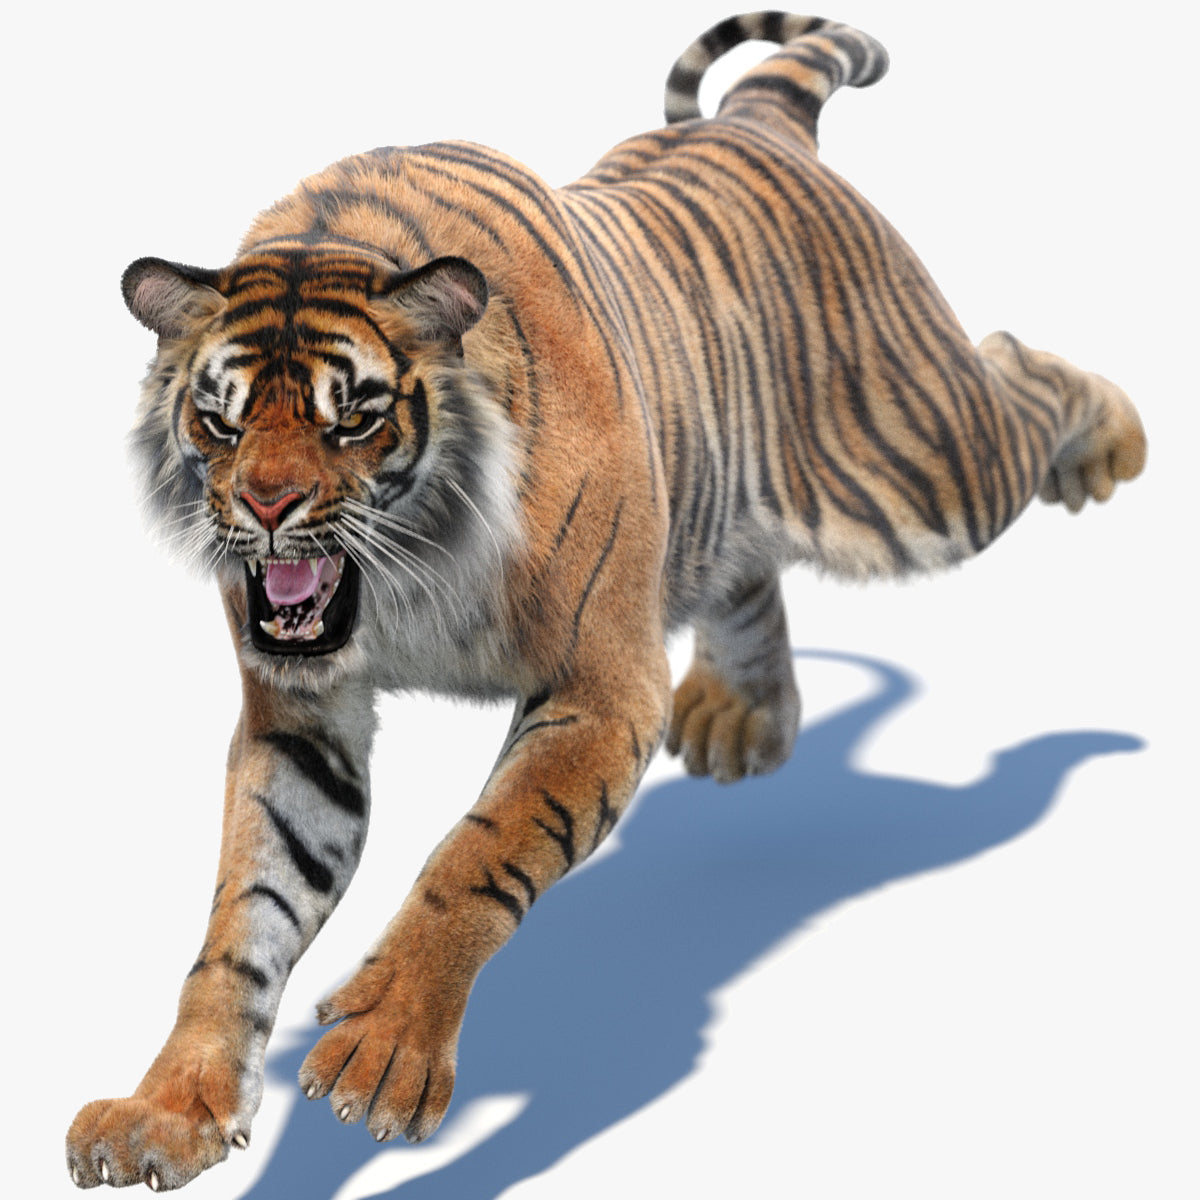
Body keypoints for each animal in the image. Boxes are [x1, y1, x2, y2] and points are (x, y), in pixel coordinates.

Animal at [66, 11, 1146, 1191]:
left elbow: (479, 852)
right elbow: (243, 918)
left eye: (351, 417)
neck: (406, 569)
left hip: (925, 466)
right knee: (747, 567)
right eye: (218, 418)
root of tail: (758, 118)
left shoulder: (603, 684)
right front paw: (169, 1108)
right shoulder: (300, 718)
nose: (265, 506)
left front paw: (384, 1048)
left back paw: (1114, 445)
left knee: (1014, 369)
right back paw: (744, 717)